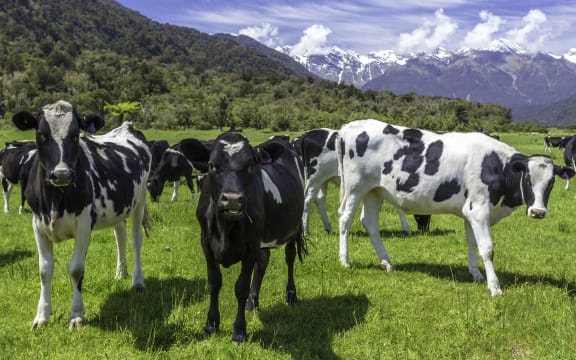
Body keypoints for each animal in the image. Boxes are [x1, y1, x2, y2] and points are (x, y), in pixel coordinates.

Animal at [11, 100, 151, 328]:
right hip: (119, 207)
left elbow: (76, 269)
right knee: (120, 235)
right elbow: (44, 270)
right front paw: (41, 316)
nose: (61, 174)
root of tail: (126, 126)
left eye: (76, 134)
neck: (55, 200)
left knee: (135, 240)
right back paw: (120, 273)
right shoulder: (38, 224)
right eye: (41, 133)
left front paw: (76, 314)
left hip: (139, 201)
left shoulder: (84, 225)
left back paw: (137, 281)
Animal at [196, 133, 306, 344]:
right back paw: (252, 302)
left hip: (294, 227)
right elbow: (214, 283)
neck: (226, 227)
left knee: (289, 258)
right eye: (212, 165)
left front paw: (239, 331)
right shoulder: (206, 242)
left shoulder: (251, 246)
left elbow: (241, 287)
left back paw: (291, 295)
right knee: (262, 263)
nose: (232, 199)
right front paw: (211, 325)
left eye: (250, 166)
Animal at [294, 128, 430, 235]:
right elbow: (397, 207)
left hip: (324, 179)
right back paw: (306, 231)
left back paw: (328, 228)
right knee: (308, 200)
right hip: (314, 177)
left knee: (320, 200)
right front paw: (406, 229)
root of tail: (310, 133)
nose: (425, 229)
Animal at [336, 118, 572, 296]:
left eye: (551, 182)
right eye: (528, 180)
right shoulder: (479, 210)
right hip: (355, 187)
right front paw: (494, 287)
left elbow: (472, 242)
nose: (537, 212)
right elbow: (487, 249)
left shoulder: (470, 212)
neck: (497, 166)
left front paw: (476, 274)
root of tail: (348, 127)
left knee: (370, 223)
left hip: (375, 191)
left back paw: (387, 263)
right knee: (345, 218)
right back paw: (345, 260)